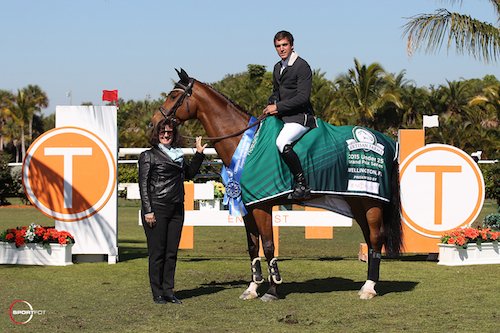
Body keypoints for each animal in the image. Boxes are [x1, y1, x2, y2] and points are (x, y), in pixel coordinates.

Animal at [152, 68, 402, 300]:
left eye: (173, 96)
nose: (155, 123)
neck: (246, 145)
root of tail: (387, 142)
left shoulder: (262, 206)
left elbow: (269, 245)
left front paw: (272, 290)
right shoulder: (247, 208)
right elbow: (254, 247)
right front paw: (252, 289)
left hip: (370, 203)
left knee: (376, 238)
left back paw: (369, 288)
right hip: (357, 201)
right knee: (370, 239)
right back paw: (367, 285)